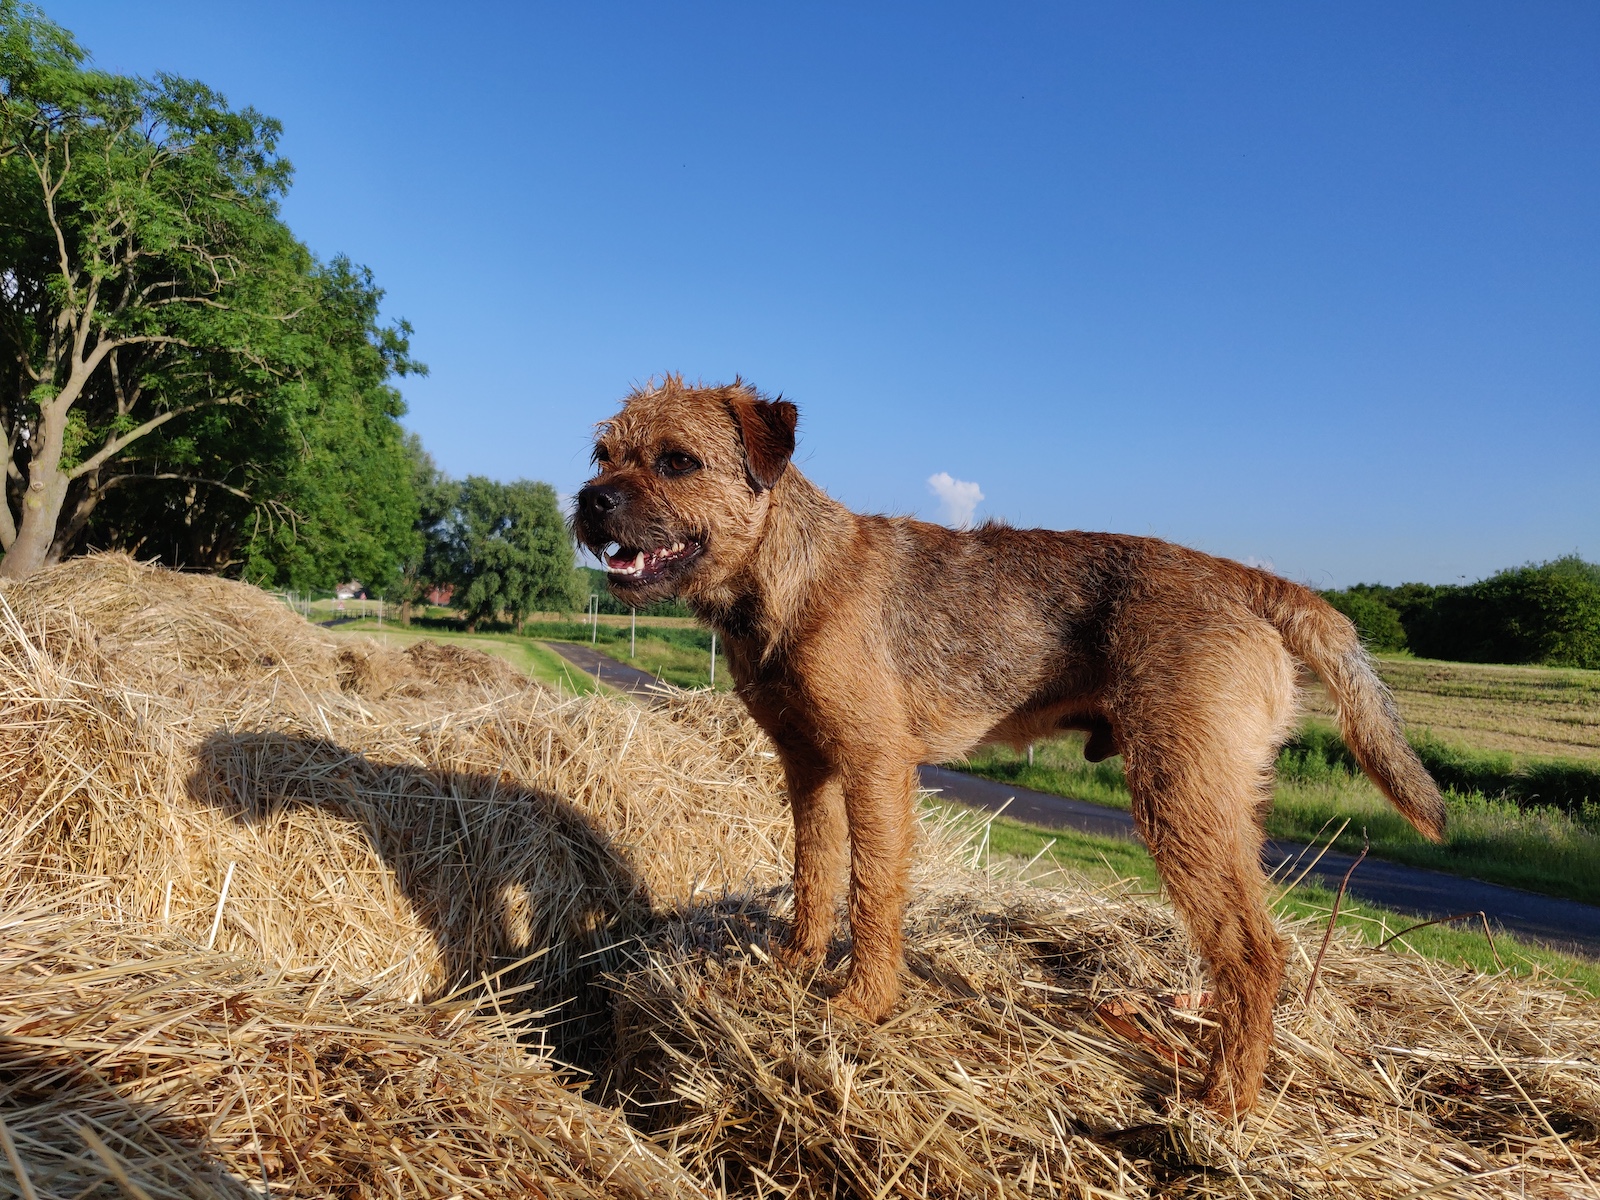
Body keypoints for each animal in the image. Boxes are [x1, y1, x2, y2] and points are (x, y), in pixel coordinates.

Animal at [576, 377, 1452, 1120]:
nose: (590, 500)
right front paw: (794, 966)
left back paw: (1222, 1104)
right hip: (1224, 800)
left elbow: (872, 892)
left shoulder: (875, 766)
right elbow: (815, 872)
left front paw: (861, 1006)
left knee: (1254, 952)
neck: (791, 573)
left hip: (1178, 796)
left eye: (677, 461)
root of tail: (1255, 580)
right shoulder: (808, 766)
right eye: (603, 454)